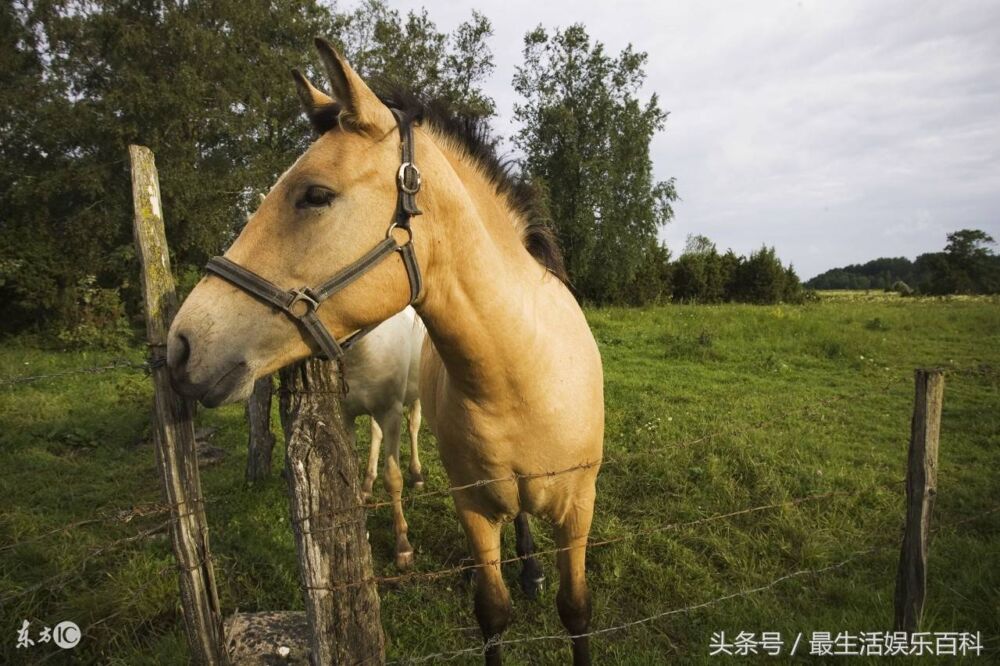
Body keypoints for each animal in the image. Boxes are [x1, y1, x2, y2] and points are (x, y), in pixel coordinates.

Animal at [166, 39, 600, 660]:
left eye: (315, 194)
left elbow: (576, 611)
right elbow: (492, 612)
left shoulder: (577, 510)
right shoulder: (473, 509)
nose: (181, 344)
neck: (524, 377)